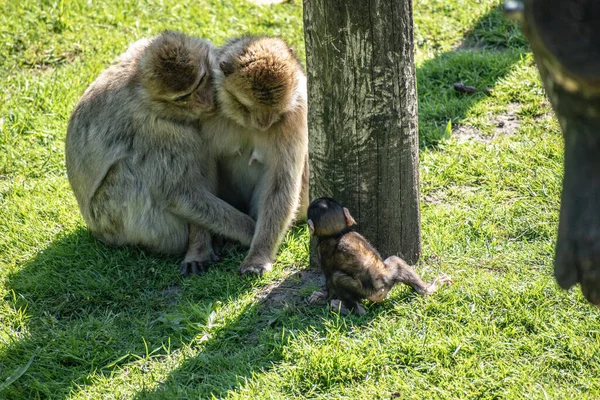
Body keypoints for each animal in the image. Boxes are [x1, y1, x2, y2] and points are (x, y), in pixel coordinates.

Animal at [308, 198, 452, 314]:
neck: (337, 233)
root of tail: (382, 287)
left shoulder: (321, 250)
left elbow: (329, 281)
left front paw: (322, 298)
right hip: (390, 272)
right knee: (396, 261)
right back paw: (428, 288)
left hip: (366, 291)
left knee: (336, 278)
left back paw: (350, 309)